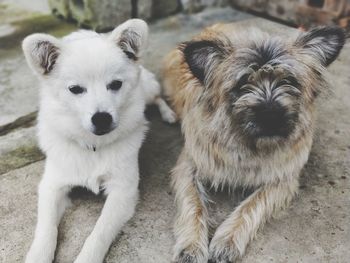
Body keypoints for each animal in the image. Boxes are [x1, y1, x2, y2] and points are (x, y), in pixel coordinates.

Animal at [21, 19, 175, 263]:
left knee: (158, 97)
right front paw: (38, 255)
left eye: (116, 84)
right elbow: (46, 228)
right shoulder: (51, 186)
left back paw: (169, 114)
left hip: (148, 88)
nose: (102, 118)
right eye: (75, 89)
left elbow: (100, 232)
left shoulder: (123, 191)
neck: (93, 146)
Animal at [163, 23, 346, 262]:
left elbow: (251, 205)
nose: (270, 116)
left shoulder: (282, 179)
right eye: (243, 83)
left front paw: (227, 241)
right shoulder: (188, 167)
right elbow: (193, 205)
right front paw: (191, 245)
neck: (247, 145)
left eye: (289, 81)